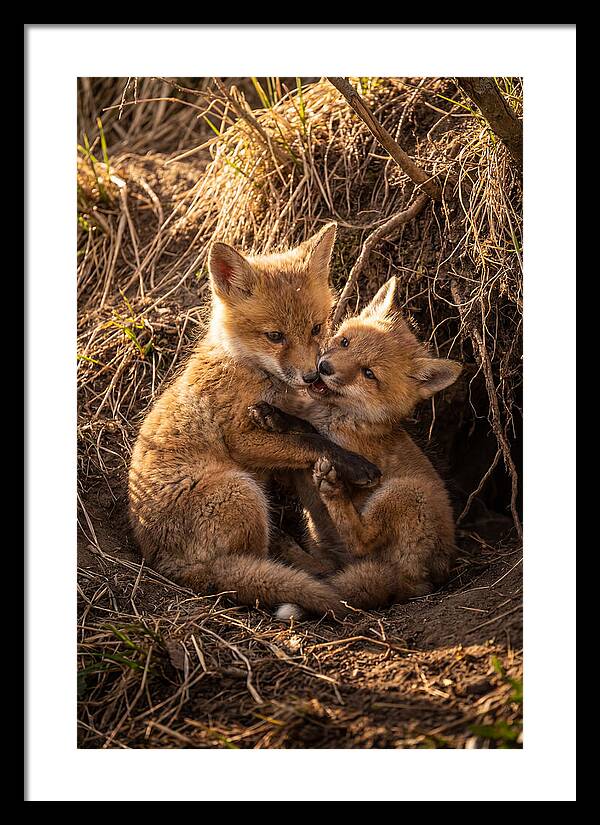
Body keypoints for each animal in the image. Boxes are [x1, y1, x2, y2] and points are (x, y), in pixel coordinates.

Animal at [128, 223, 381, 619]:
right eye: (275, 336)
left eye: (316, 328)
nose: (312, 376)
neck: (247, 368)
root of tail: (165, 564)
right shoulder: (241, 439)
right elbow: (311, 441)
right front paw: (355, 465)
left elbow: (305, 429)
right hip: (242, 490)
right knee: (253, 565)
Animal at [248, 275, 463, 619]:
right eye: (346, 342)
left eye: (369, 373)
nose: (324, 367)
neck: (337, 416)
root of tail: (423, 582)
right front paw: (274, 415)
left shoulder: (349, 450)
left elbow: (313, 434)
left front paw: (281, 419)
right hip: (325, 540)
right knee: (328, 568)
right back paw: (291, 549)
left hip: (404, 493)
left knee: (361, 540)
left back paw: (332, 491)